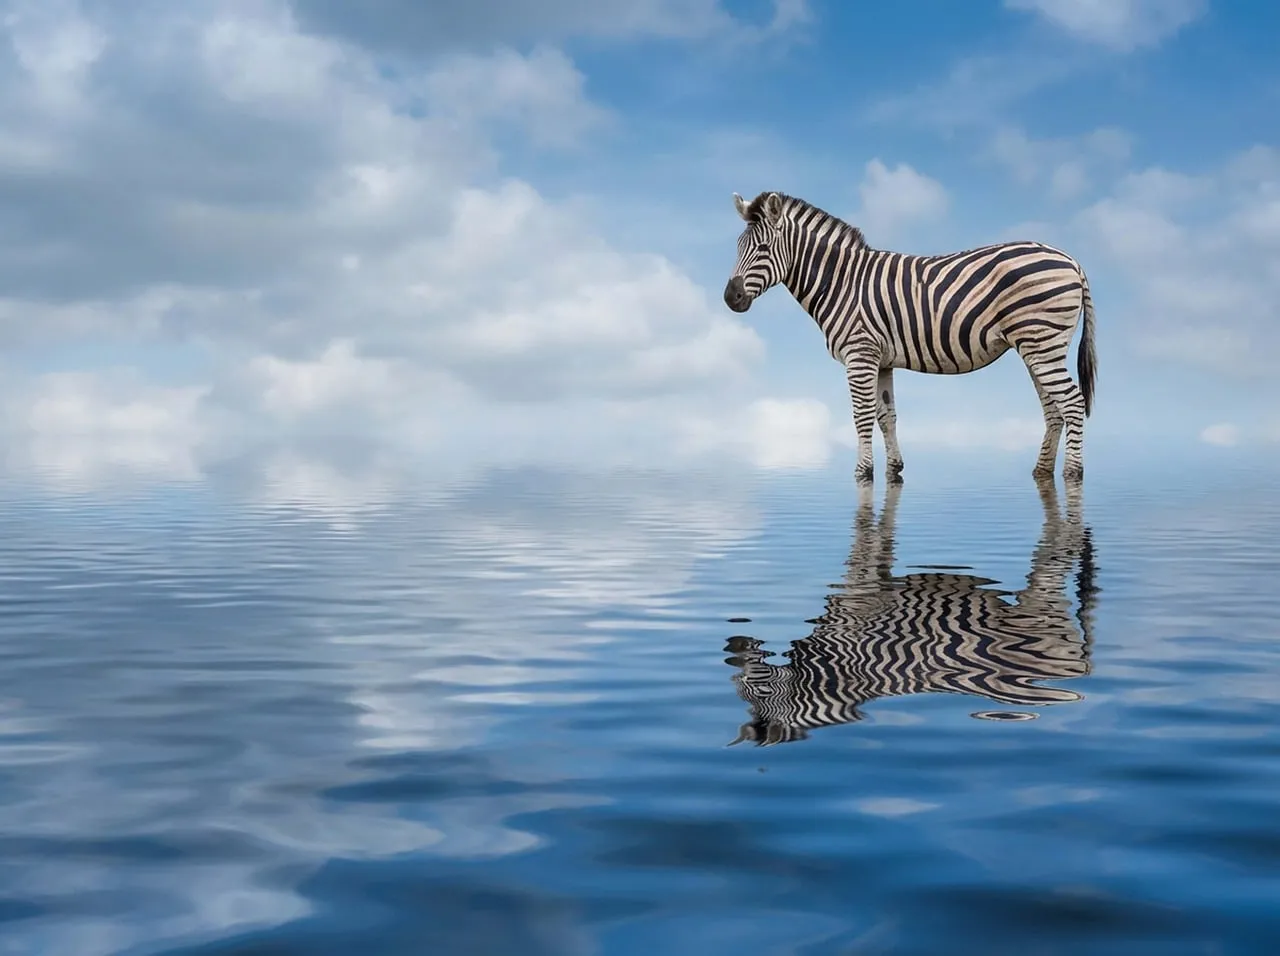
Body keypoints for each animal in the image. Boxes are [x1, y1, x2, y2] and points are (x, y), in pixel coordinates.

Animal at [723, 190, 1097, 483]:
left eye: (764, 247)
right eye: (738, 246)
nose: (730, 298)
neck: (841, 282)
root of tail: (1071, 259)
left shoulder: (860, 355)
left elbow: (861, 416)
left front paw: (862, 473)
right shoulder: (881, 360)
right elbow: (886, 417)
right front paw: (894, 469)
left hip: (1042, 343)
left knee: (1072, 402)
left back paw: (1072, 473)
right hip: (1037, 347)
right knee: (1053, 408)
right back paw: (1041, 471)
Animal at [725, 480, 1097, 745]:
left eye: (754, 690)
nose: (732, 643)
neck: (828, 669)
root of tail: (1074, 684)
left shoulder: (857, 606)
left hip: (1041, 608)